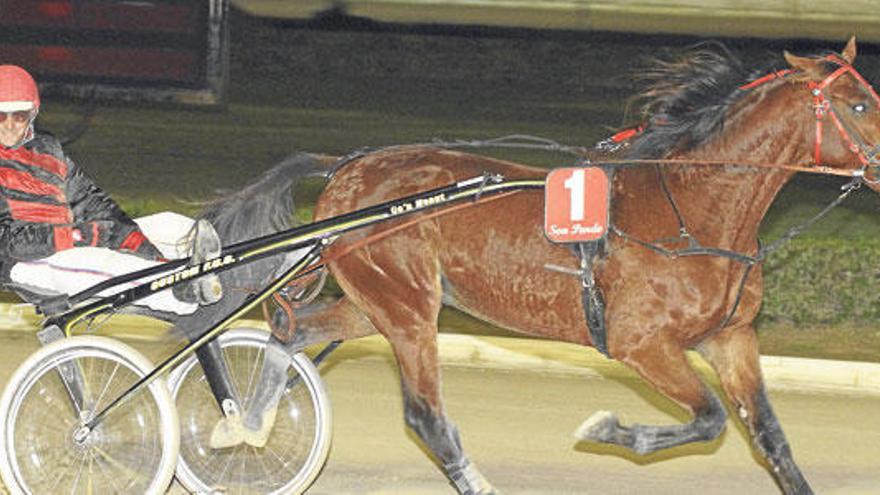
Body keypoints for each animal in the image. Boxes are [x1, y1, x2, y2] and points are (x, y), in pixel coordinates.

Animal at [235, 36, 880, 494]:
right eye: (857, 104)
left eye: (872, 96)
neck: (691, 209)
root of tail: (346, 167)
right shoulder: (641, 344)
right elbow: (710, 418)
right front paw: (606, 429)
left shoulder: (732, 338)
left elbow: (771, 440)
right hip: (406, 307)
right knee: (425, 417)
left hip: (377, 304)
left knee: (291, 331)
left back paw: (247, 423)